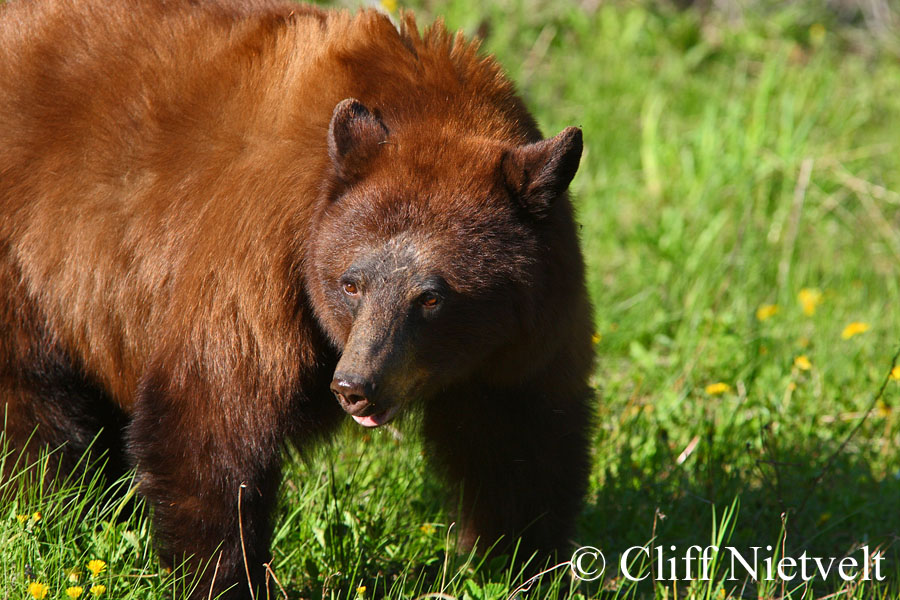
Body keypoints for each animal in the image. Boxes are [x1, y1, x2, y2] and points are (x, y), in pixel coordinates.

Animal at [1, 1, 596, 596]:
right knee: (34, 413)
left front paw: (524, 567)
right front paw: (224, 578)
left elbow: (522, 444)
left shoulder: (528, 331)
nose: (355, 387)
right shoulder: (259, 257)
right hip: (29, 272)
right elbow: (211, 421)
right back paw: (52, 514)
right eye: (351, 283)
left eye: (431, 297)